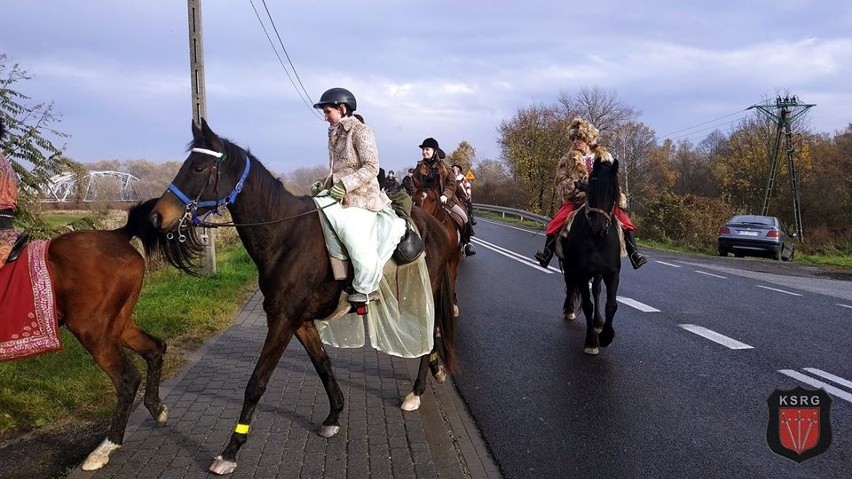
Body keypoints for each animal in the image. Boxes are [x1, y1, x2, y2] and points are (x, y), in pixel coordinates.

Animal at [4, 199, 203, 472]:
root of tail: (117, 234)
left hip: (92, 330)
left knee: (127, 379)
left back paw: (105, 447)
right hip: (118, 324)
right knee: (154, 349)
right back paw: (156, 408)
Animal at [151, 120, 460, 476]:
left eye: (199, 167)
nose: (156, 217)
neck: (285, 236)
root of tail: (438, 226)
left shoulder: (282, 320)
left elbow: (256, 383)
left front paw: (231, 450)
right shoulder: (298, 321)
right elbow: (323, 364)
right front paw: (334, 415)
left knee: (429, 335)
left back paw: (416, 391)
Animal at [560, 159, 620, 354]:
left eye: (613, 193)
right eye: (590, 191)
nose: (598, 227)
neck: (597, 240)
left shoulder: (612, 273)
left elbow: (611, 304)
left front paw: (606, 335)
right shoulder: (581, 272)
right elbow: (587, 305)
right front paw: (591, 342)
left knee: (597, 290)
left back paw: (598, 322)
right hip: (569, 266)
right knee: (570, 285)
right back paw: (569, 310)